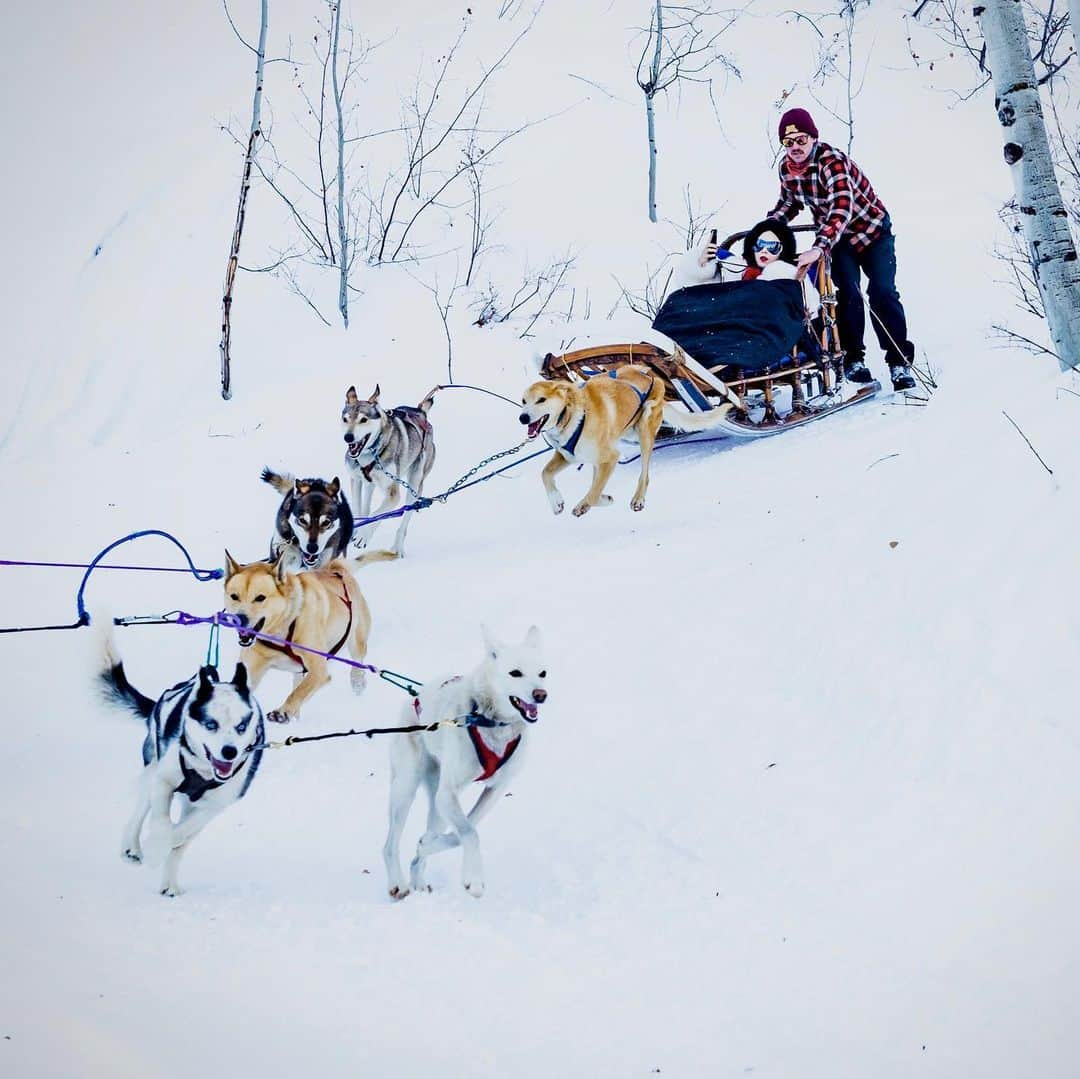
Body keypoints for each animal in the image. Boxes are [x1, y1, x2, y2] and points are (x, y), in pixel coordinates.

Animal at [99, 635, 265, 898]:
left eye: (241, 726)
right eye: (211, 724)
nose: (230, 752)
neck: (203, 771)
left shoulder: (215, 805)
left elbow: (180, 833)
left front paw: (164, 845)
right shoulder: (163, 781)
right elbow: (161, 822)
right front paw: (154, 848)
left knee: (181, 840)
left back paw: (170, 884)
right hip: (151, 769)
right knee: (141, 810)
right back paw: (132, 846)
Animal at [223, 548, 397, 725]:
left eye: (260, 598)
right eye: (234, 596)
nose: (239, 618)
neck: (284, 628)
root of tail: (336, 568)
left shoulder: (318, 670)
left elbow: (298, 693)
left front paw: (283, 712)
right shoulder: (251, 668)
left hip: (356, 641)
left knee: (357, 663)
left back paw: (357, 682)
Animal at [341, 386, 434, 557]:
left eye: (363, 419)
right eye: (345, 419)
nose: (348, 437)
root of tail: (420, 411)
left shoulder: (393, 495)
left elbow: (377, 514)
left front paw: (363, 536)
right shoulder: (356, 479)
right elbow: (358, 507)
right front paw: (356, 531)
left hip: (415, 485)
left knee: (404, 519)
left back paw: (397, 547)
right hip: (369, 484)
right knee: (366, 505)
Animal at [382, 626, 548, 902]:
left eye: (543, 673)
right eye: (515, 673)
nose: (541, 695)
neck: (490, 721)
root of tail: (414, 698)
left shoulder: (494, 790)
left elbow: (461, 834)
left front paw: (428, 846)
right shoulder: (448, 794)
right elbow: (469, 832)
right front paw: (475, 880)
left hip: (438, 806)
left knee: (427, 840)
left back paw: (419, 876)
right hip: (406, 788)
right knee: (390, 844)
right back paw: (398, 883)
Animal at [520, 367, 734, 518]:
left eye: (541, 400)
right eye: (523, 401)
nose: (522, 417)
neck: (572, 414)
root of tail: (653, 378)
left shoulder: (611, 458)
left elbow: (593, 493)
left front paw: (591, 503)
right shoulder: (569, 456)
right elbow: (546, 474)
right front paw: (557, 502)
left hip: (645, 429)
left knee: (644, 474)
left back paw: (638, 498)